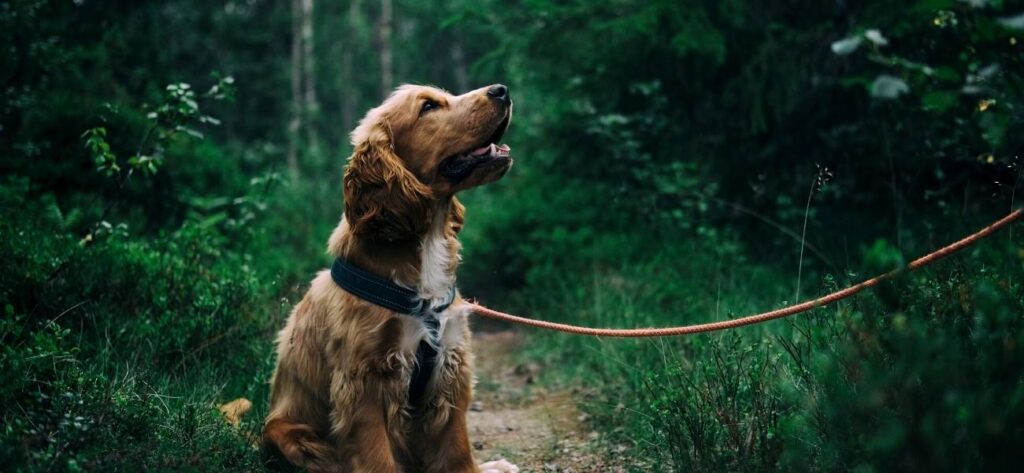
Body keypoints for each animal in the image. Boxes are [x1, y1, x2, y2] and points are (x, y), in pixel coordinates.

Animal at [264, 86, 520, 473]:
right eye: (428, 106)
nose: (501, 90)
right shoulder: (364, 381)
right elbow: (377, 458)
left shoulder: (450, 366)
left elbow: (457, 451)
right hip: (294, 437)